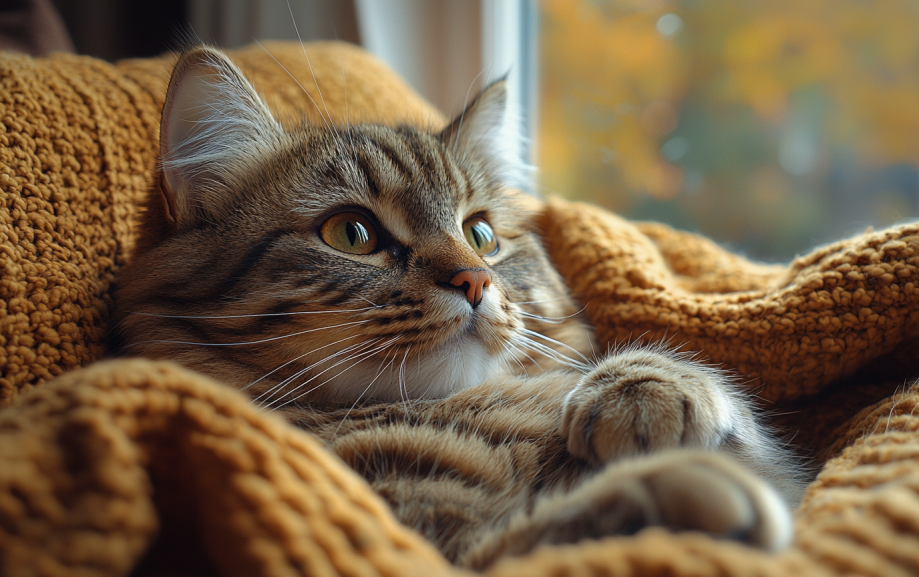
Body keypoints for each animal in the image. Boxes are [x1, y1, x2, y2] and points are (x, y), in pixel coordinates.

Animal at [113, 45, 804, 568]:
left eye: (482, 235)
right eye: (351, 234)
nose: (475, 280)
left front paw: (644, 390)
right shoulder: (423, 540)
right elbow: (547, 532)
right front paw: (680, 486)